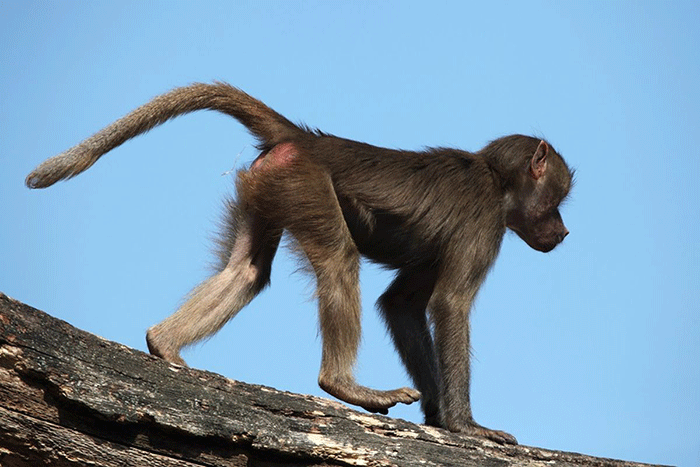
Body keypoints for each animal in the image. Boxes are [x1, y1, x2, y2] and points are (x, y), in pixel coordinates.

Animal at [26, 82, 573, 445]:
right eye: (558, 197)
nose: (564, 232)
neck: (494, 178)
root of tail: (309, 139)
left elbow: (400, 304)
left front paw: (439, 419)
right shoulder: (483, 223)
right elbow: (450, 305)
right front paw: (466, 426)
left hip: (270, 183)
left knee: (247, 272)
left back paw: (164, 344)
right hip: (304, 182)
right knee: (338, 261)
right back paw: (344, 385)